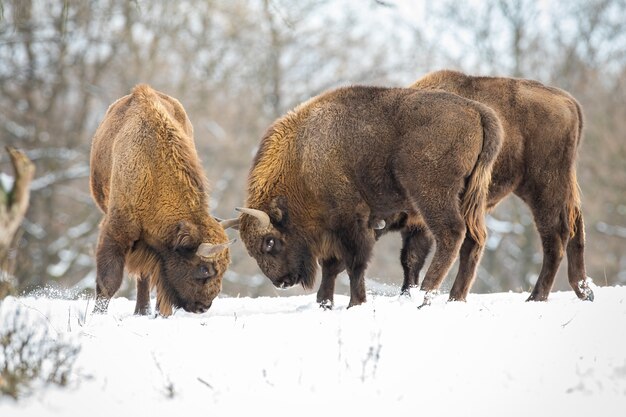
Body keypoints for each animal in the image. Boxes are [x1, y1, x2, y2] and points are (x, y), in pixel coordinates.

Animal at [230, 85, 502, 306]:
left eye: (269, 242)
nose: (282, 281)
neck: (303, 156)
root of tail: (478, 111)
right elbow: (332, 266)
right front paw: (324, 303)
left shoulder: (351, 222)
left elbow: (354, 264)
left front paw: (355, 303)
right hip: (469, 198)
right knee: (474, 240)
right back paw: (456, 298)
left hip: (433, 196)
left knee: (452, 234)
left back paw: (425, 296)